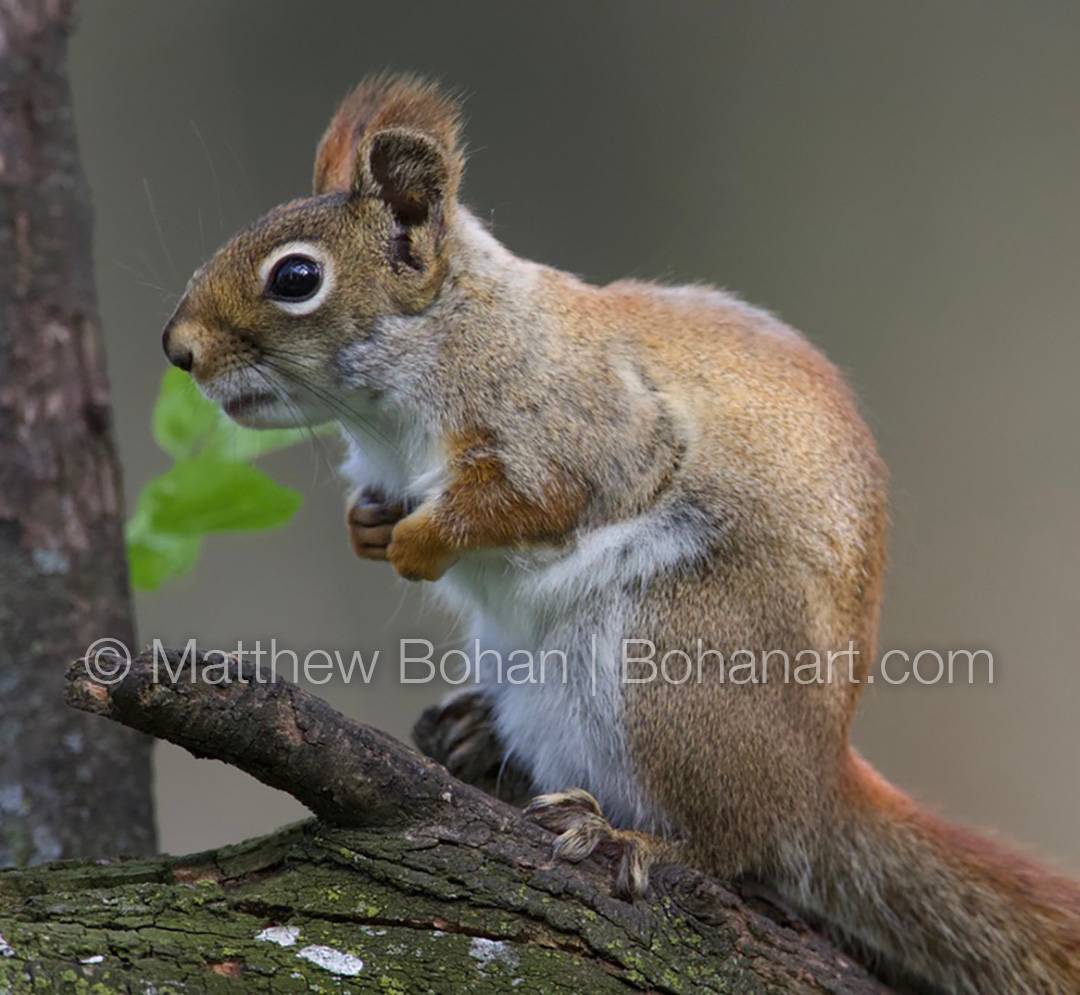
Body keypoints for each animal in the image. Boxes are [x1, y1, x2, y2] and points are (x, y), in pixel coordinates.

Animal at [162, 74, 1080, 993]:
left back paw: (632, 838)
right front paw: (369, 528)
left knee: (731, 845)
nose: (178, 348)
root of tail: (815, 782)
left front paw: (422, 544)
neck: (446, 336)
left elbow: (539, 498)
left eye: (297, 277)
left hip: (668, 665)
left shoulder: (587, 427)